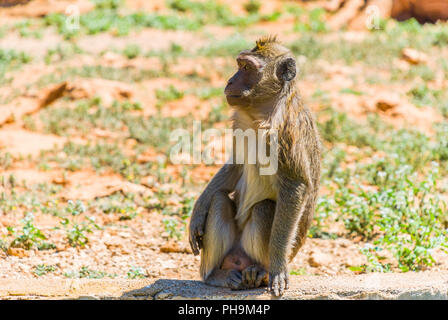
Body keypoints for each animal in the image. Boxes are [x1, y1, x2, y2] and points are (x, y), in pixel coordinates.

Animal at [187, 35, 320, 298]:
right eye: (239, 65)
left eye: (247, 68)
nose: (230, 81)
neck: (262, 111)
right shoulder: (240, 121)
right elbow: (237, 164)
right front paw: (197, 213)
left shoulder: (286, 130)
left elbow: (295, 185)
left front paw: (278, 268)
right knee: (219, 199)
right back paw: (215, 276)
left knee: (264, 208)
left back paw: (262, 271)